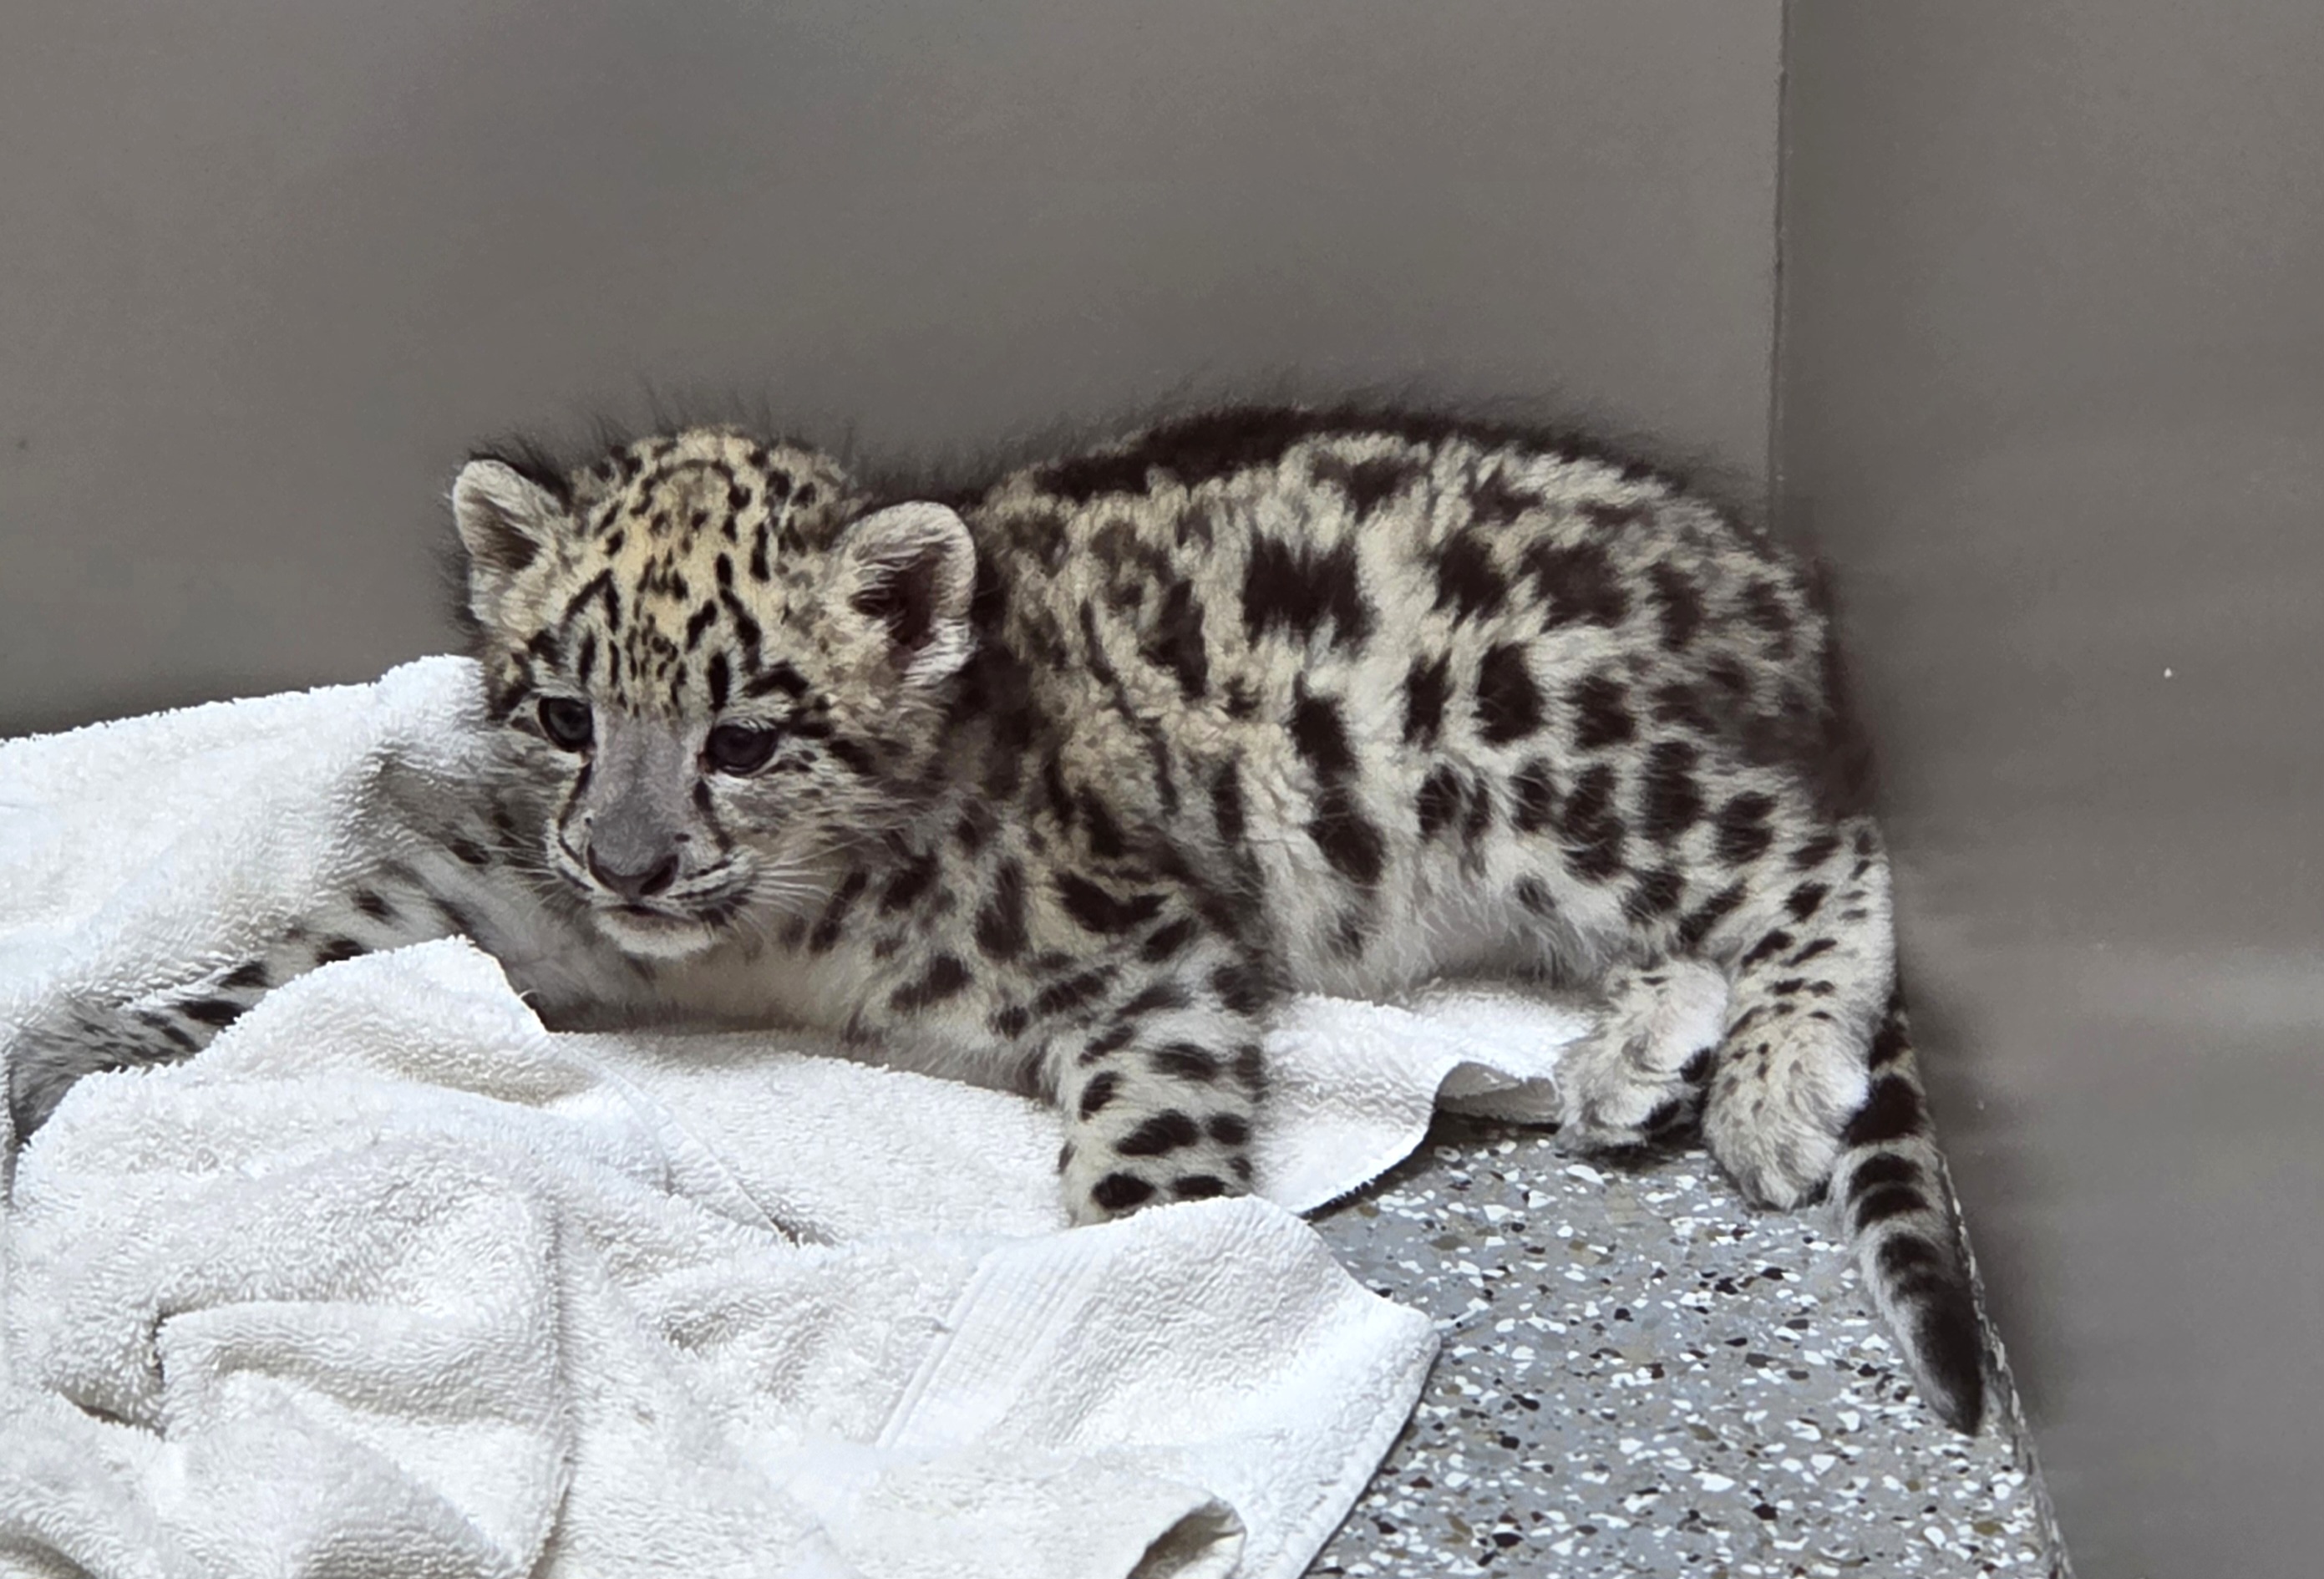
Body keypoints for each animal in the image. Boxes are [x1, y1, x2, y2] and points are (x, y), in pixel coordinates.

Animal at [4, 408, 1986, 1433]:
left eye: (746, 734)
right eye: (562, 712)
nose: (630, 863)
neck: (753, 941)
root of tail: (1753, 570)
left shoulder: (1151, 948)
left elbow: (1143, 1159)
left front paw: (1147, 1298)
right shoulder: (478, 888)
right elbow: (281, 959)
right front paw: (72, 1049)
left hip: (1538, 757)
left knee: (1822, 849)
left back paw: (1770, 1087)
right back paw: (1634, 1055)